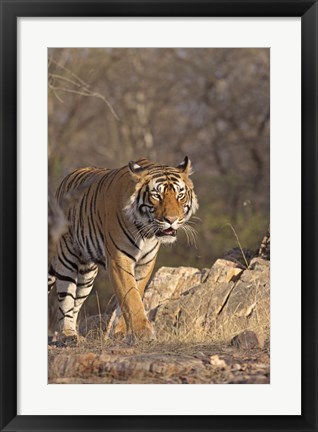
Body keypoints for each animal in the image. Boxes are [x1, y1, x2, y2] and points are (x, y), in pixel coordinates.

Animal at [48, 157, 198, 342]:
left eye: (180, 195)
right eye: (156, 195)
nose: (171, 219)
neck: (145, 233)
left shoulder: (145, 263)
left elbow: (133, 294)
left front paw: (122, 332)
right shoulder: (119, 259)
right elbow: (130, 295)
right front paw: (142, 332)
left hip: (86, 274)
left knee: (76, 301)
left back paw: (75, 334)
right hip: (66, 259)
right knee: (65, 300)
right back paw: (68, 334)